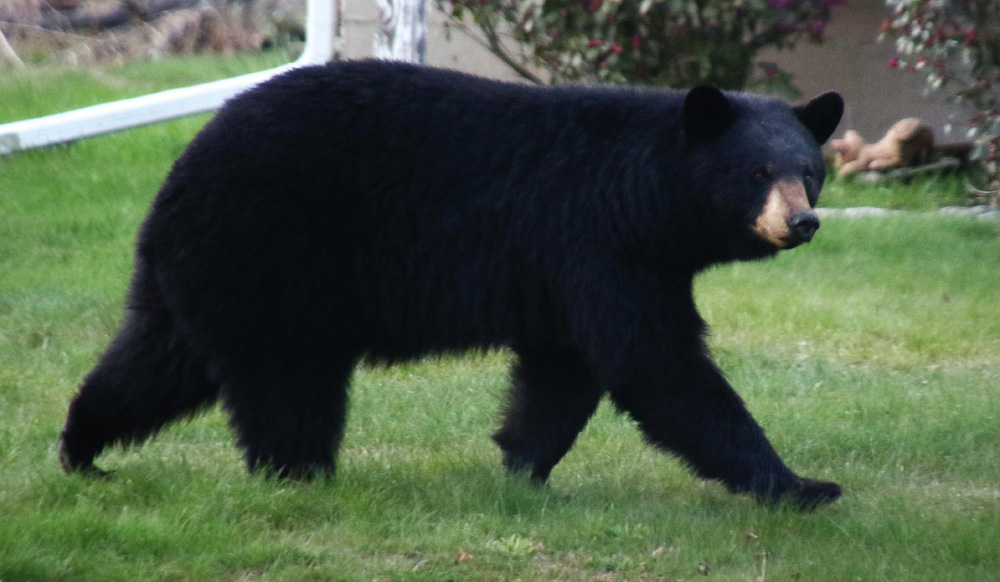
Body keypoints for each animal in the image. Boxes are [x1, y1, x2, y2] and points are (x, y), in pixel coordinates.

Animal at [60, 58, 844, 506]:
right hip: (274, 256)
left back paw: (82, 448)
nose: (802, 221)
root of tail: (179, 170)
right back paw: (301, 475)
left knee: (155, 361)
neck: (643, 196)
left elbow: (562, 372)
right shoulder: (600, 243)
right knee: (287, 380)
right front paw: (801, 486)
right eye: (756, 172)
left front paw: (524, 468)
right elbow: (659, 365)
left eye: (809, 170)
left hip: (202, 274)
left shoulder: (580, 267)